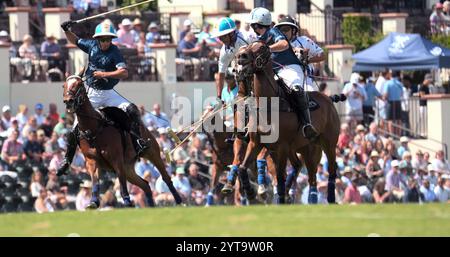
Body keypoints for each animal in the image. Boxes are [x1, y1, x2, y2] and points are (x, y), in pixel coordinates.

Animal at [61, 71, 181, 207]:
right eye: (64, 85)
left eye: (80, 84)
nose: (68, 101)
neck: (93, 128)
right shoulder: (91, 161)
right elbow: (95, 180)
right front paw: (93, 202)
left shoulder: (116, 160)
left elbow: (122, 185)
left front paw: (128, 202)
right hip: (128, 168)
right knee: (145, 185)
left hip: (152, 153)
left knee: (166, 178)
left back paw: (179, 201)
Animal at [234, 41, 342, 203]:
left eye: (262, 48)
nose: (241, 56)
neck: (268, 104)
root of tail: (328, 98)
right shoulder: (256, 143)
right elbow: (242, 168)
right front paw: (251, 194)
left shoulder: (282, 146)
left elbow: (280, 176)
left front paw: (279, 197)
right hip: (304, 147)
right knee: (306, 171)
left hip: (328, 143)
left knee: (330, 169)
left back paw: (329, 198)